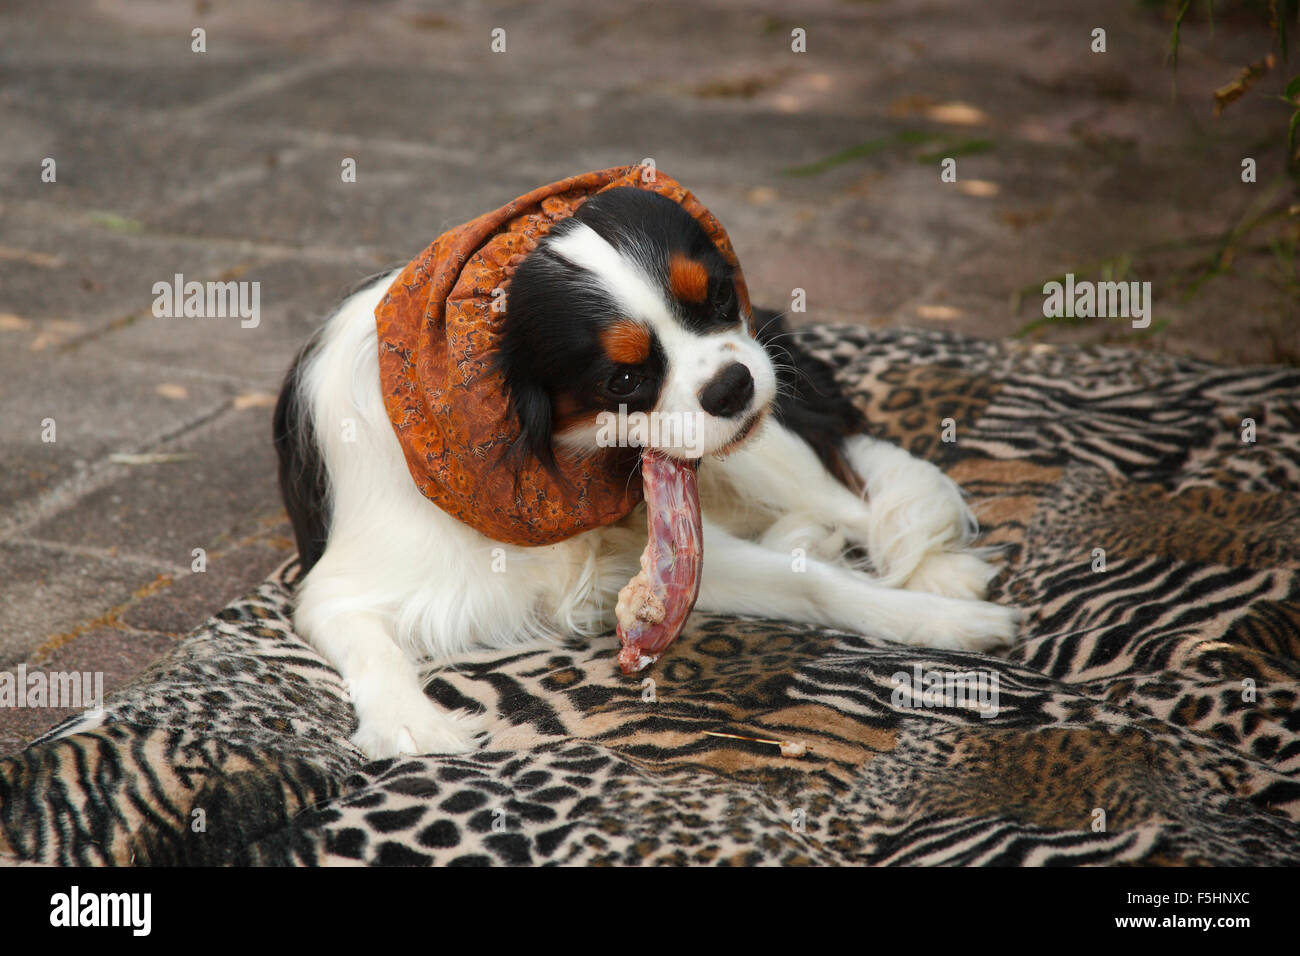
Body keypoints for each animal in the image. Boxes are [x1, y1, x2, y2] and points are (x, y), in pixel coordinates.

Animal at [279, 171, 1019, 759]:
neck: (556, 456)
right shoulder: (333, 588)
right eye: (624, 379)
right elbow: (368, 640)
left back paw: (936, 571)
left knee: (852, 500)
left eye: (717, 299)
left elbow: (820, 585)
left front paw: (940, 621)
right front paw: (411, 723)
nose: (733, 386)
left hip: (766, 444)